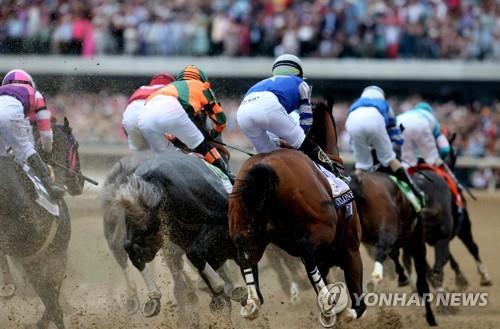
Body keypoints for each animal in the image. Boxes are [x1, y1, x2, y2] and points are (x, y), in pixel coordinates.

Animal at [229, 102, 366, 326]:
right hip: (322, 230)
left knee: (245, 254)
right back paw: (327, 301)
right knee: (306, 250)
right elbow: (358, 303)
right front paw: (345, 311)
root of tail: (264, 167)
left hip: (248, 230)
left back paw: (253, 301)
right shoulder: (350, 249)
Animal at [312, 104, 438, 324]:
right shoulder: (415, 239)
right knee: (383, 249)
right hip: (390, 229)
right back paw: (374, 280)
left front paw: (402, 276)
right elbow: (421, 283)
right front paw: (430, 317)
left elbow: (395, 257)